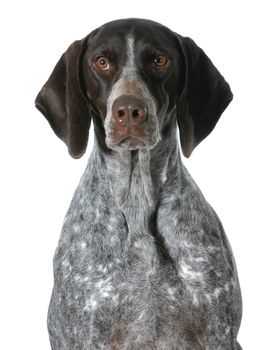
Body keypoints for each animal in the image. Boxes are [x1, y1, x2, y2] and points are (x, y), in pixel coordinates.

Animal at [35, 17, 243, 348]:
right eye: (102, 62)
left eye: (160, 60)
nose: (130, 111)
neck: (137, 203)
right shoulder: (80, 334)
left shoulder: (218, 332)